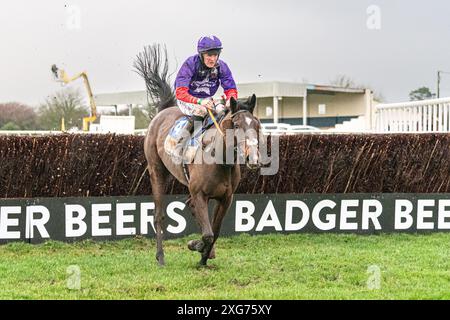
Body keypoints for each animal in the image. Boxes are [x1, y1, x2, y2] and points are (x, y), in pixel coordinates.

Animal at [134, 44, 262, 264]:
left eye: (256, 124)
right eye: (236, 125)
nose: (253, 158)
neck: (221, 161)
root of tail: (163, 111)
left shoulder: (225, 198)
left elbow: (215, 232)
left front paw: (204, 256)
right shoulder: (200, 193)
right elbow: (208, 234)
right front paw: (196, 246)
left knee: (190, 206)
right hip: (157, 171)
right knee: (158, 216)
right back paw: (160, 257)